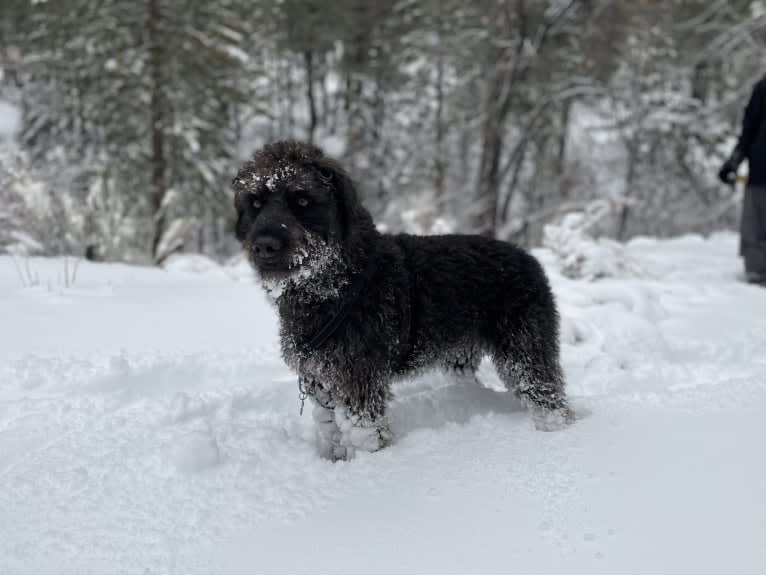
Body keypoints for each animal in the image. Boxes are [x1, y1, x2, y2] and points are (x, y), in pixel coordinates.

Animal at [236, 142, 576, 462]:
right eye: (255, 203)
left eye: (302, 200)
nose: (264, 246)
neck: (337, 284)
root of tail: (529, 259)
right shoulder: (321, 379)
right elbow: (331, 430)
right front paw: (337, 462)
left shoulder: (359, 379)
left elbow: (364, 433)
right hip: (462, 356)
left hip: (525, 351)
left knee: (548, 397)